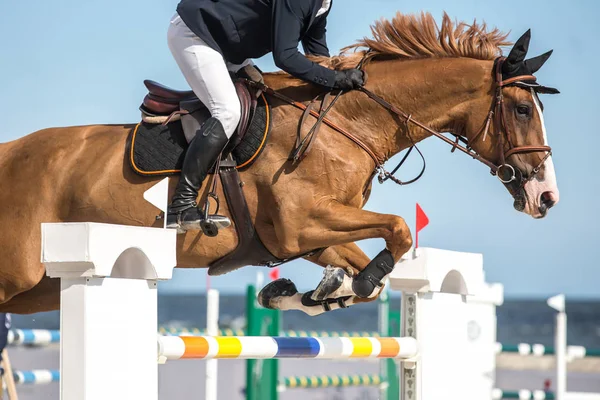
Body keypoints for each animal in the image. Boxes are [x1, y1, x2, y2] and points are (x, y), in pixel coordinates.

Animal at [0, 12, 556, 316]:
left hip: (41, 289)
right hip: (18, 276)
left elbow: (368, 271)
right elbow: (398, 229)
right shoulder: (300, 223)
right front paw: (342, 286)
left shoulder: (306, 236)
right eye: (522, 110)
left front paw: (316, 292)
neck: (347, 123)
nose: (545, 197)